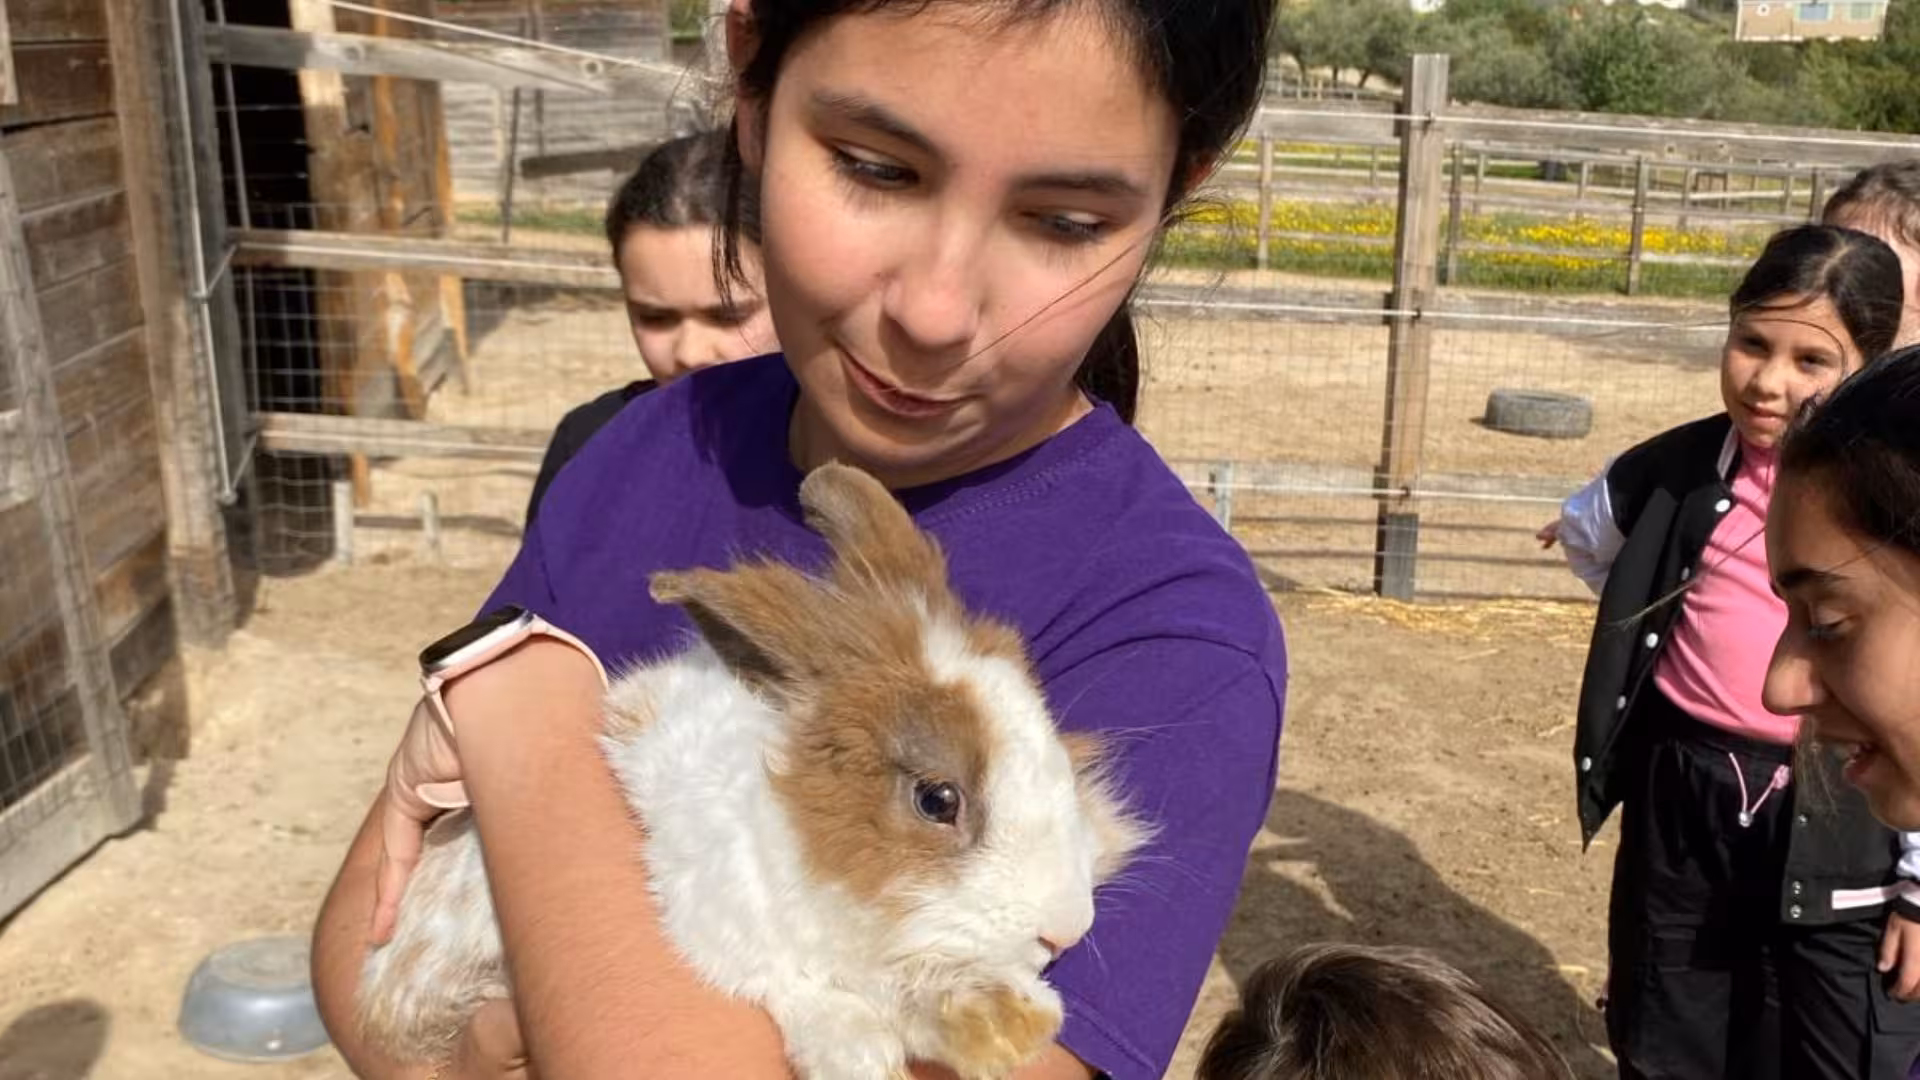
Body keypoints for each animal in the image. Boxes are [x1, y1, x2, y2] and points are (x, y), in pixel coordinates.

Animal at [356, 462, 1148, 1080]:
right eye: (937, 799)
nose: (1066, 931)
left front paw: (1001, 1021)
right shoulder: (714, 922)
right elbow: (814, 989)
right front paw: (909, 1041)